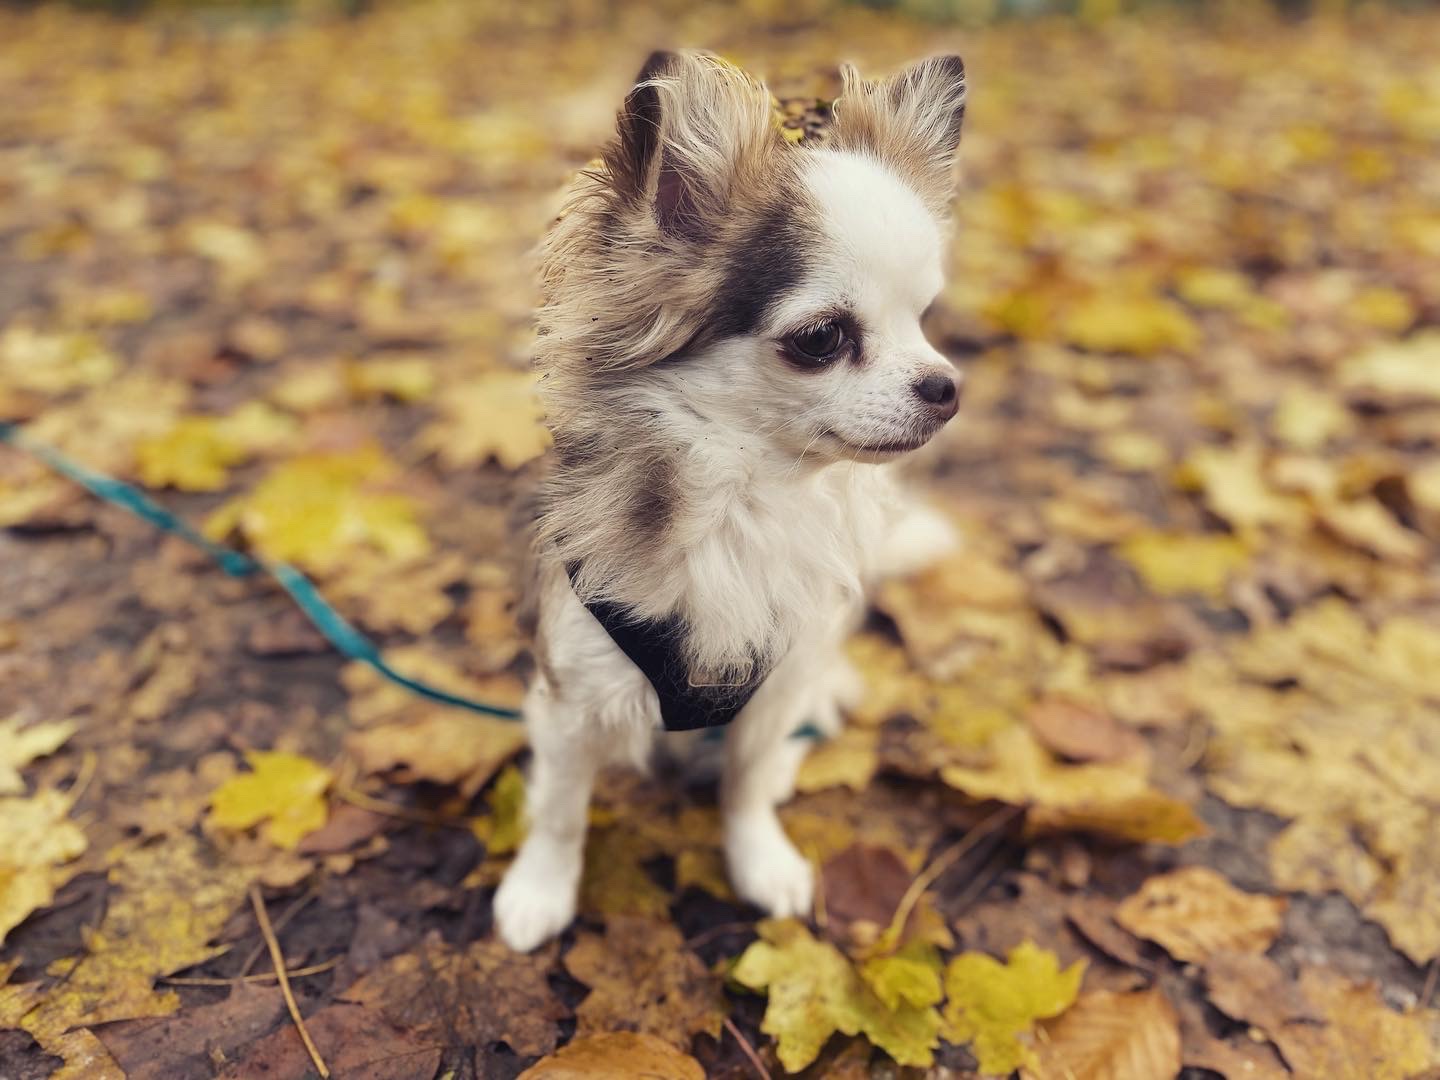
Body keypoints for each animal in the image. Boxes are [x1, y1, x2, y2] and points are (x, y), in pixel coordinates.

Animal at [492, 50, 967, 950]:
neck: (748, 497)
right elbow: (561, 810)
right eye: (821, 339)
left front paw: (760, 861)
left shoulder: (771, 683)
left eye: (924, 319)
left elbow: (743, 784)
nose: (947, 386)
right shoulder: (571, 694)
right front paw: (540, 890)